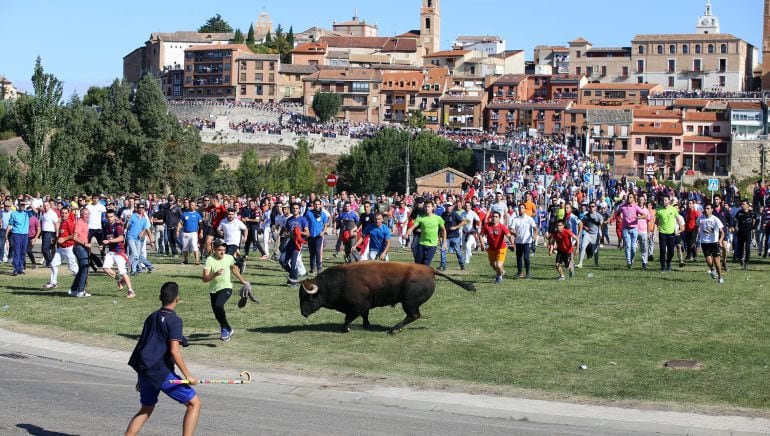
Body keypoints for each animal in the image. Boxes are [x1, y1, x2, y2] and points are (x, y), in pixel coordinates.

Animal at [298, 262, 474, 334]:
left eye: (308, 298)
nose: (303, 313)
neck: (341, 280)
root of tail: (430, 270)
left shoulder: (357, 307)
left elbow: (348, 318)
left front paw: (345, 329)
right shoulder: (365, 306)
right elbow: (365, 315)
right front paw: (366, 325)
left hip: (409, 303)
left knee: (413, 315)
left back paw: (394, 329)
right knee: (413, 316)